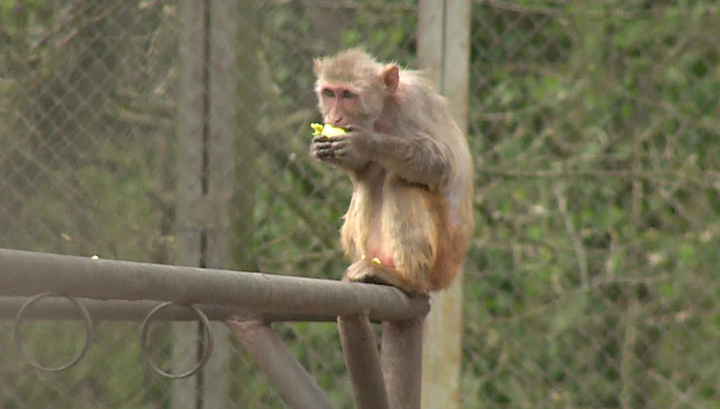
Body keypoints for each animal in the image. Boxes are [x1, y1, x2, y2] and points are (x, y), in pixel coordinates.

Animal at [310, 49, 472, 294]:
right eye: (329, 93)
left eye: (347, 95)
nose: (333, 118)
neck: (382, 113)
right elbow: (363, 170)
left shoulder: (413, 103)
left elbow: (442, 163)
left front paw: (365, 143)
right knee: (368, 181)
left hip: (441, 261)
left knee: (401, 182)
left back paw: (407, 279)